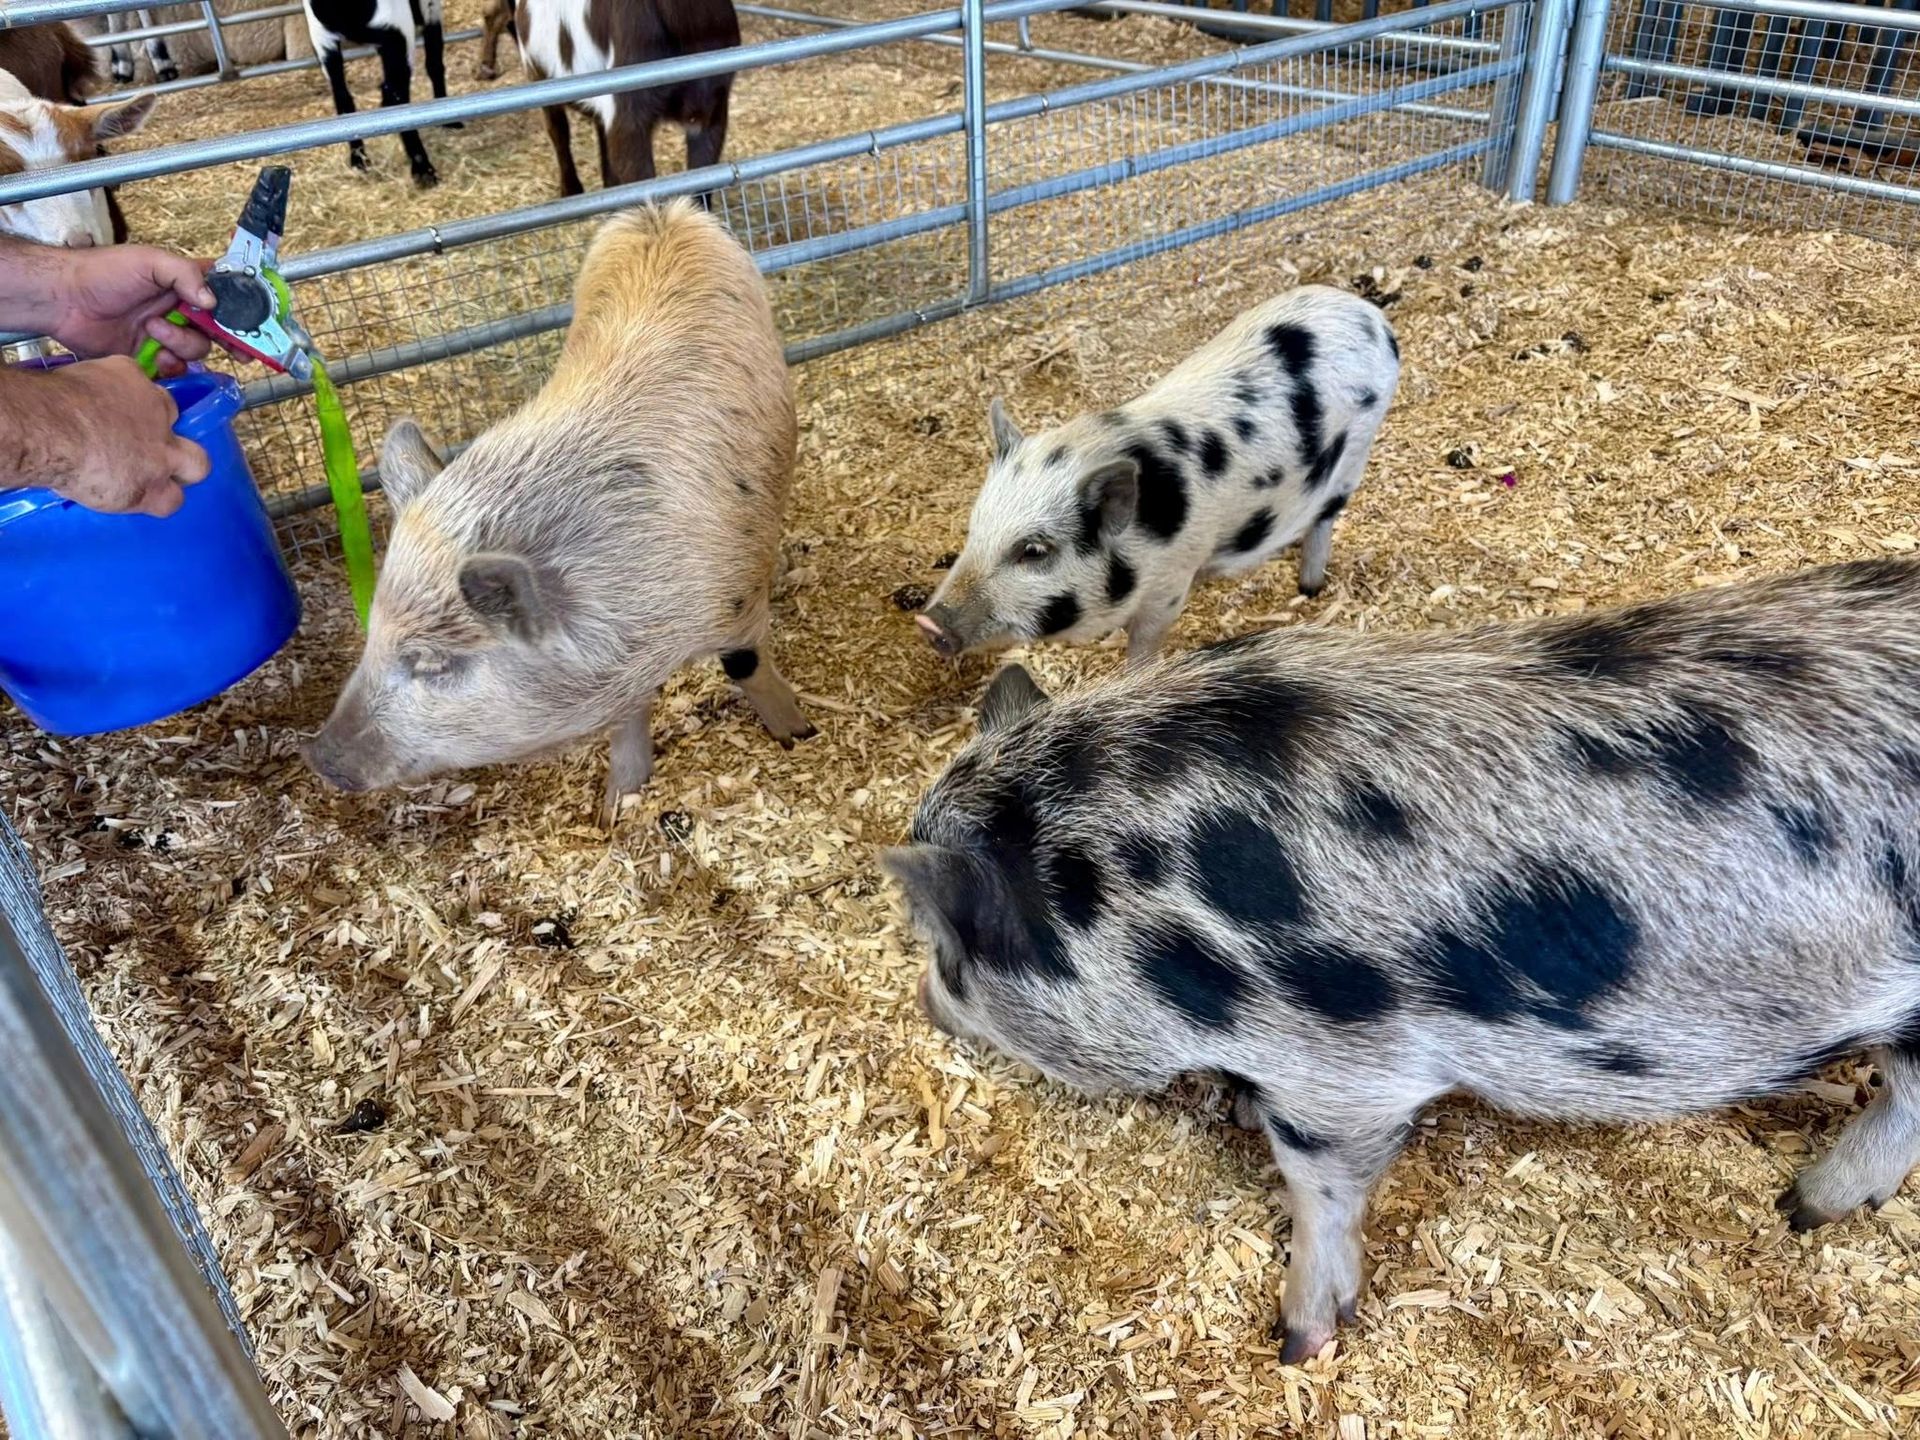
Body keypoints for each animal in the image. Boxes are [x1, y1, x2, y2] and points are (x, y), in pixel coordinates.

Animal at [303, 201, 814, 824]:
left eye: (434, 664)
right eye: (370, 631)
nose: (316, 756)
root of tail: (661, 210)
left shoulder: (735, 593)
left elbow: (745, 665)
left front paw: (800, 735)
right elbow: (628, 716)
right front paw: (616, 808)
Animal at [885, 556, 1920, 1361]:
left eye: (952, 954)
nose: (926, 1007)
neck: (1143, 916)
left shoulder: (1342, 1068)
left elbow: (1321, 1181)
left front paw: (1298, 1341)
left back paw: (1798, 1208)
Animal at [917, 286, 1398, 664]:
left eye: (1034, 551)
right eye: (974, 528)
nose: (928, 622)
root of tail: (1369, 315)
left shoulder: (1170, 582)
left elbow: (1145, 643)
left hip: (1356, 451)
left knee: (1324, 517)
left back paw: (1310, 586)